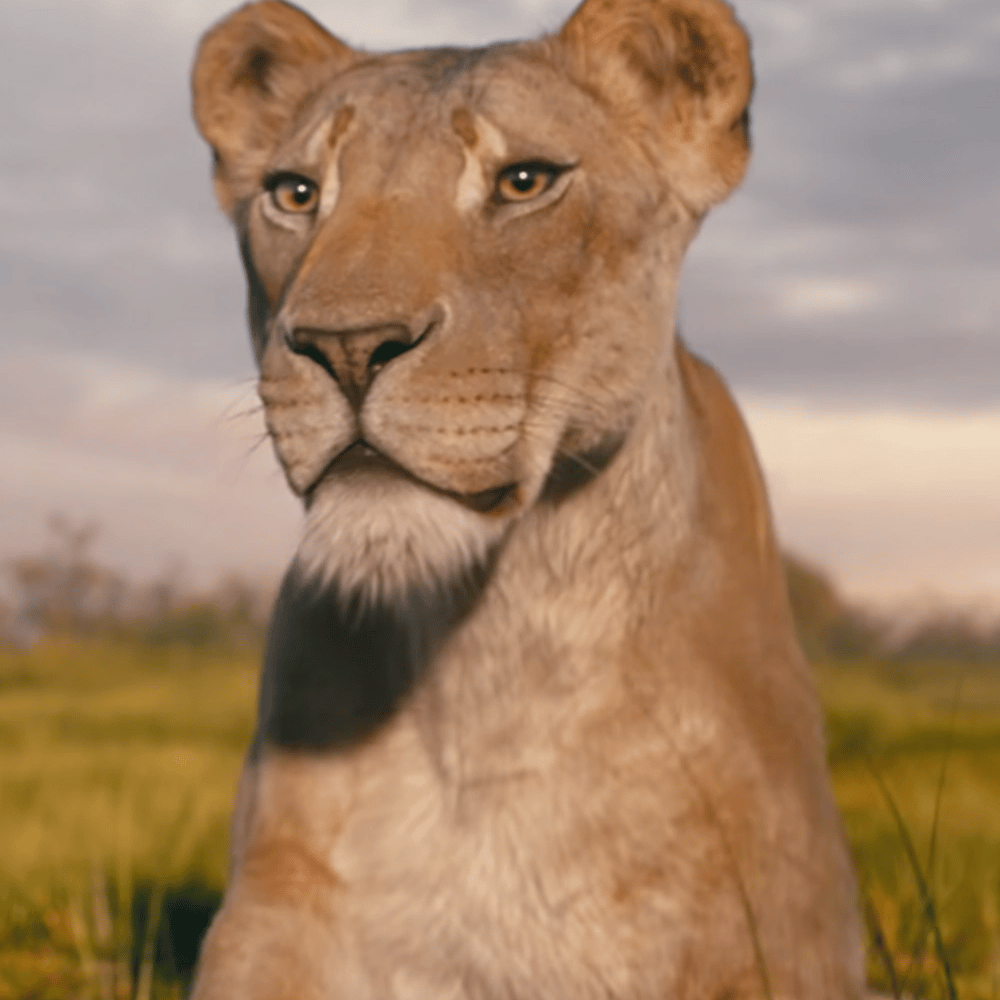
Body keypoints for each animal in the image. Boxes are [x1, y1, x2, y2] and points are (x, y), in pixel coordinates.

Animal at [189, 0, 866, 996]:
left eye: (521, 182)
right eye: (297, 193)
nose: (345, 349)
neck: (486, 662)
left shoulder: (777, 946)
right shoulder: (269, 916)